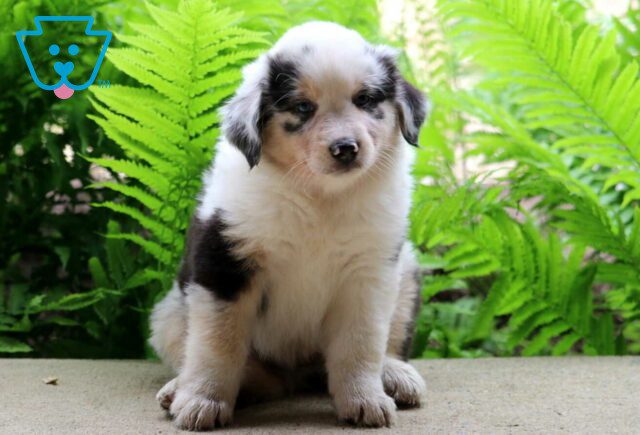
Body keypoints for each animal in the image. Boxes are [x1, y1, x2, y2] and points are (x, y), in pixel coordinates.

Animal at [149, 22, 428, 430]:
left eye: (364, 100)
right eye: (302, 108)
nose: (346, 148)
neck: (319, 198)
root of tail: (299, 374)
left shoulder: (369, 272)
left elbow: (361, 343)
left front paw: (364, 401)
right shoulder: (224, 260)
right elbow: (218, 344)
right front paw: (202, 401)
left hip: (406, 272)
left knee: (384, 345)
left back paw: (394, 375)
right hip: (169, 311)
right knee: (251, 373)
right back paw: (180, 390)